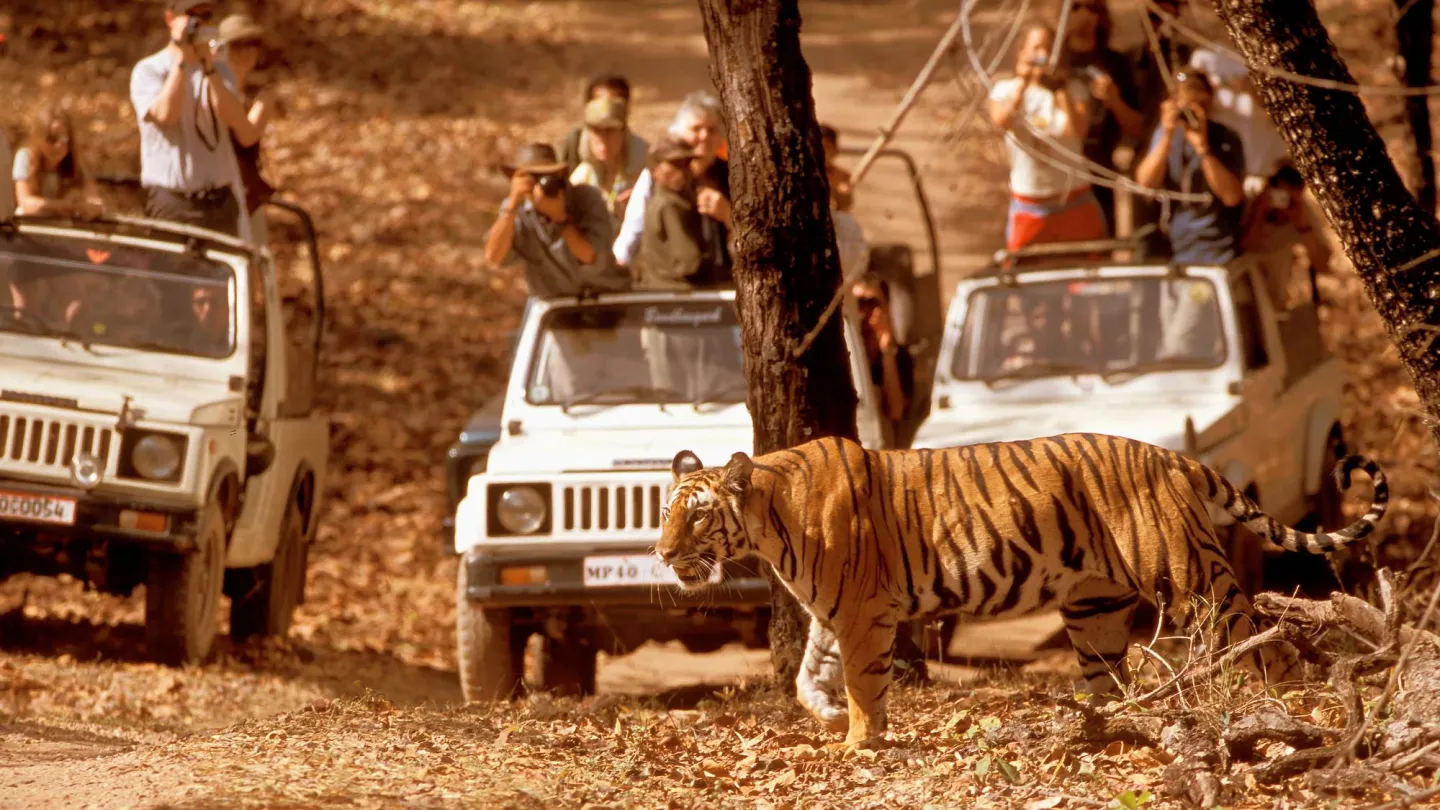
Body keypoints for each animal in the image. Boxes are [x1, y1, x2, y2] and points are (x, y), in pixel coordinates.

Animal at [654, 433, 1387, 748]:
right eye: (665, 511)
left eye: (696, 516)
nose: (660, 553)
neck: (768, 519)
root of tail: (1167, 453)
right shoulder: (832, 612)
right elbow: (811, 676)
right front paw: (831, 718)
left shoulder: (862, 611)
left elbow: (864, 682)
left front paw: (858, 741)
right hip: (1092, 609)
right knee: (1113, 682)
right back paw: (1100, 728)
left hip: (1186, 578)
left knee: (1258, 640)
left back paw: (1273, 706)